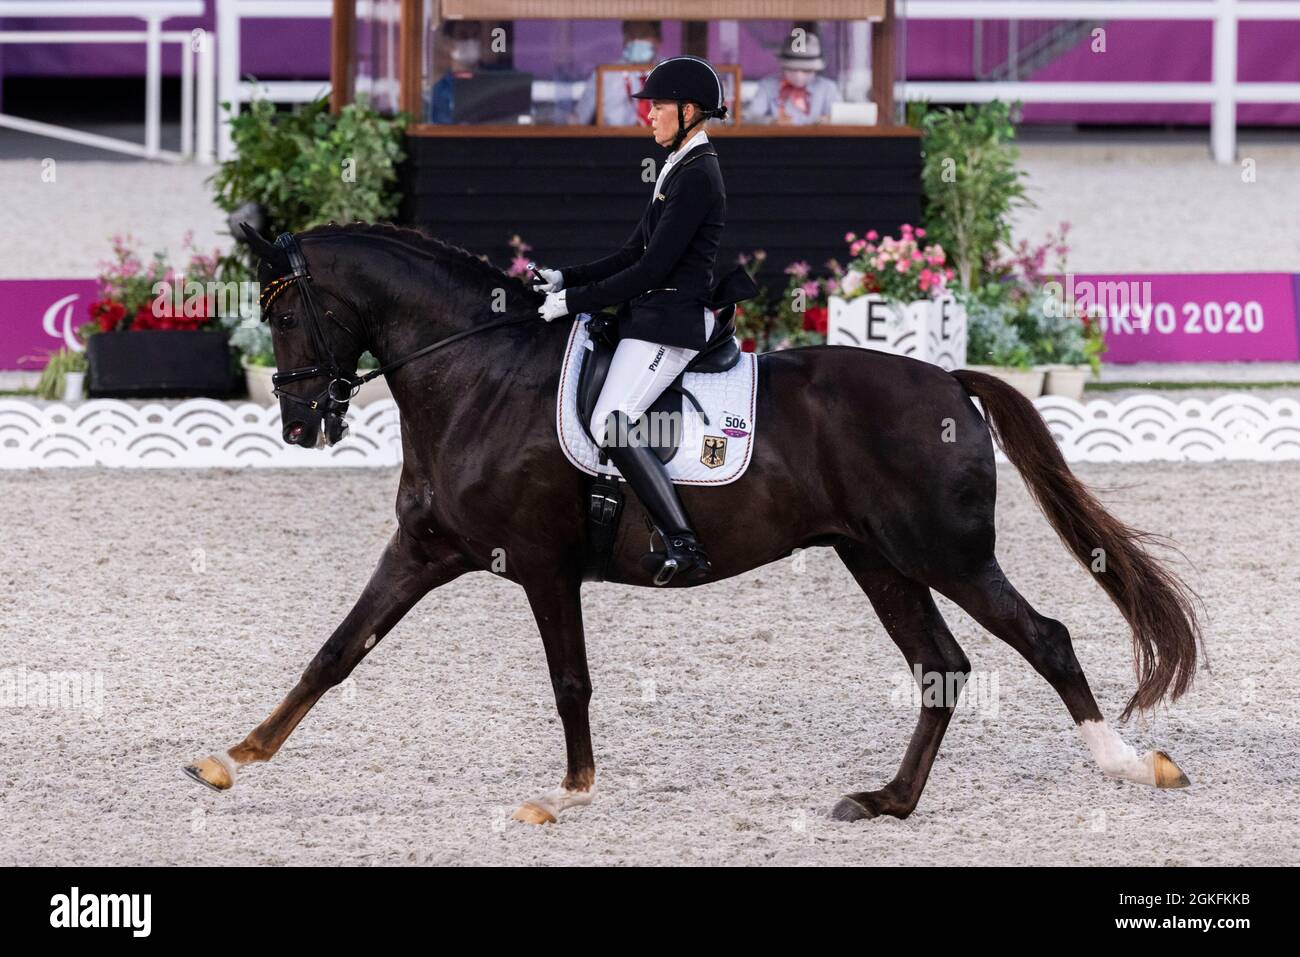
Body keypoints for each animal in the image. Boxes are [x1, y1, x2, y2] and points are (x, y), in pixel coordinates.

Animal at [183, 222, 1196, 821]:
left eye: (284, 313)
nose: (300, 425)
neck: (475, 374)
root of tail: (950, 380)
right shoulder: (424, 549)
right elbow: (335, 651)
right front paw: (232, 758)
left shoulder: (543, 564)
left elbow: (570, 681)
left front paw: (568, 792)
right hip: (878, 559)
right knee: (941, 667)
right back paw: (886, 801)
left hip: (943, 554)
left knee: (1046, 636)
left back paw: (1131, 766)